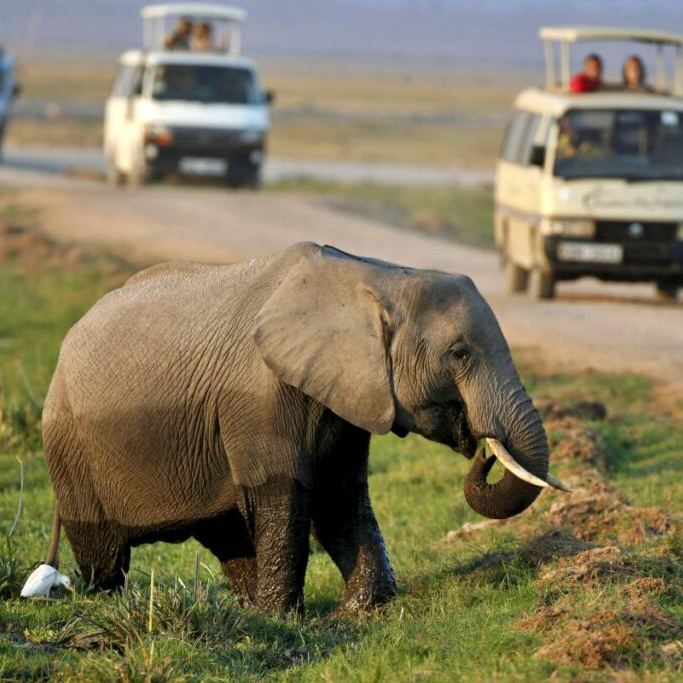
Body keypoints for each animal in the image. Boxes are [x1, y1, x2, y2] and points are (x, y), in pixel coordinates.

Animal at [30, 242, 568, 616]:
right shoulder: (258, 397)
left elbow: (339, 496)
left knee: (225, 533)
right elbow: (284, 495)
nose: (484, 450)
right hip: (69, 444)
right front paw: (283, 619)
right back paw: (108, 605)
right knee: (103, 551)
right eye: (459, 354)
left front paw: (363, 610)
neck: (376, 276)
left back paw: (246, 611)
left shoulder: (346, 395)